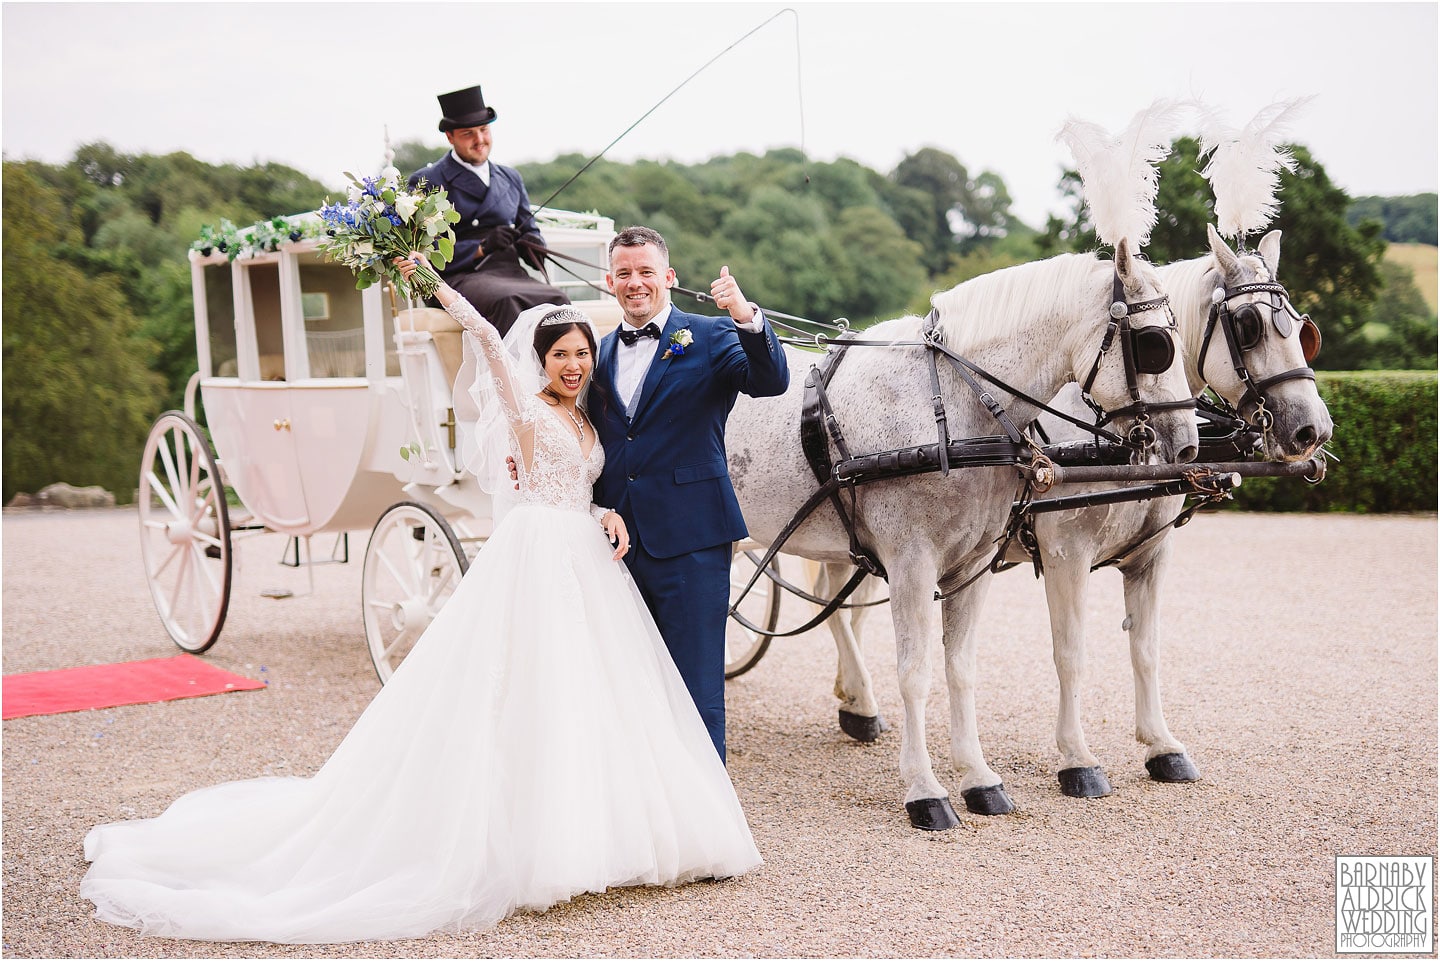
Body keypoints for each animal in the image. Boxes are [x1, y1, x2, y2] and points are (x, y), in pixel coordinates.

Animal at [725, 239, 1198, 829]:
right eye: (1154, 344)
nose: (1187, 445)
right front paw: (925, 790)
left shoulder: (972, 566)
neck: (952, 403)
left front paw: (978, 777)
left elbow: (961, 670)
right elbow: (915, 673)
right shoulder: (914, 564)